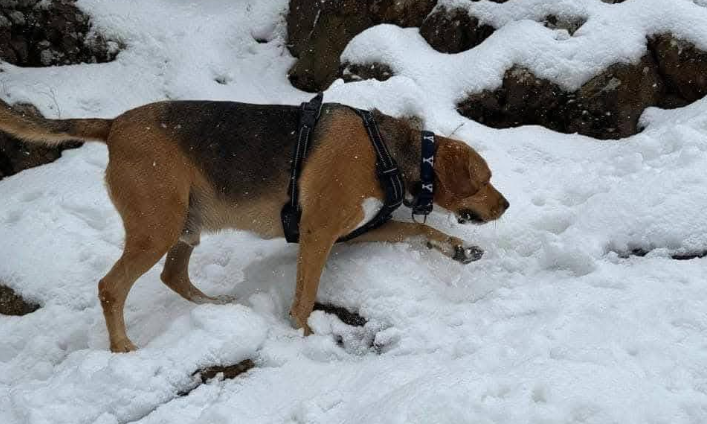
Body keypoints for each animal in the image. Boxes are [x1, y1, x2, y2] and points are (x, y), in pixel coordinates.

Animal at [0, 99, 508, 352]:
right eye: (484, 179)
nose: (505, 205)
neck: (388, 151)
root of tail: (114, 125)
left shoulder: (353, 231)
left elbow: (423, 231)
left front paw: (459, 248)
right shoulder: (318, 234)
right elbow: (304, 297)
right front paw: (307, 338)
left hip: (187, 222)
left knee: (173, 275)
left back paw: (218, 306)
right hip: (157, 225)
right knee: (111, 286)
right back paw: (123, 347)